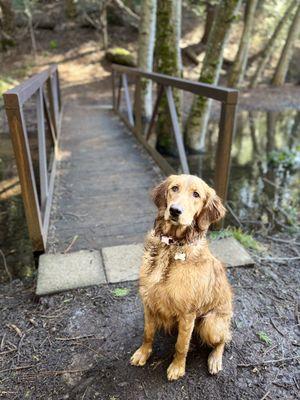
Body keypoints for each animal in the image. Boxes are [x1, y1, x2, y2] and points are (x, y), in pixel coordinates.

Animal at [130, 175, 233, 382]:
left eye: (196, 195)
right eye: (174, 188)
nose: (175, 210)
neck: (171, 246)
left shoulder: (188, 313)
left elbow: (181, 345)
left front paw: (177, 367)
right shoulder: (148, 302)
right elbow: (148, 333)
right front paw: (143, 353)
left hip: (210, 324)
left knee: (224, 339)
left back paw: (215, 360)